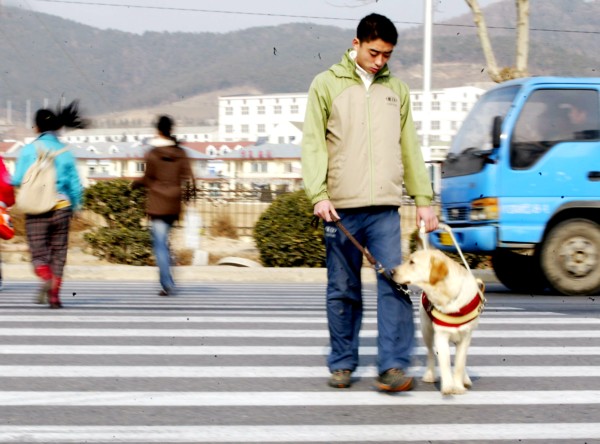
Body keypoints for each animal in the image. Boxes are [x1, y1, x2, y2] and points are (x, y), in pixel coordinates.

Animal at [394, 250, 482, 396]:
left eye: (412, 262)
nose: (391, 272)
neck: (450, 297)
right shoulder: (441, 335)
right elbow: (445, 362)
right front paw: (448, 386)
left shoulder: (465, 336)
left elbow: (459, 364)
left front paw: (458, 386)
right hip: (427, 331)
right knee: (430, 352)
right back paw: (430, 374)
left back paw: (465, 378)